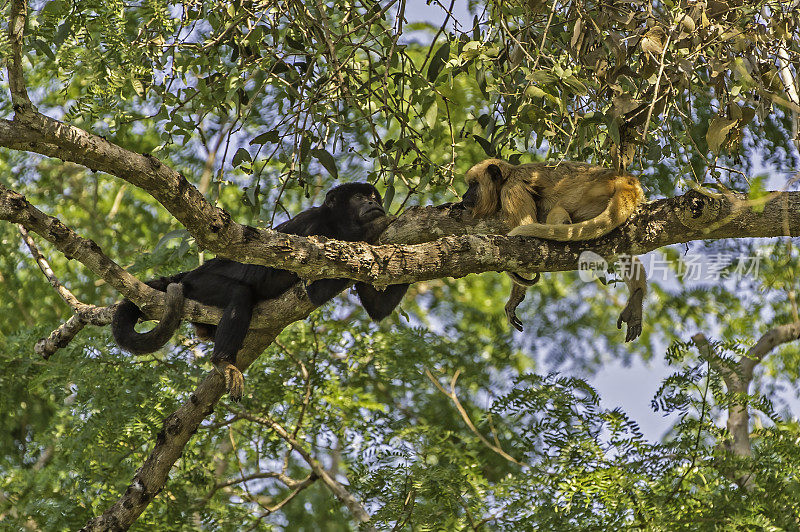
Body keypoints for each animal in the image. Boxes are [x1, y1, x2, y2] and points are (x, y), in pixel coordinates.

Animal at [113, 184, 410, 400]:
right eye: (360, 197)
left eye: (374, 197)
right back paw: (224, 362)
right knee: (240, 294)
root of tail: (189, 274)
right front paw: (379, 225)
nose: (374, 204)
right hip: (201, 283)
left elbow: (377, 307)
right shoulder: (313, 228)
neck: (336, 225)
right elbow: (312, 288)